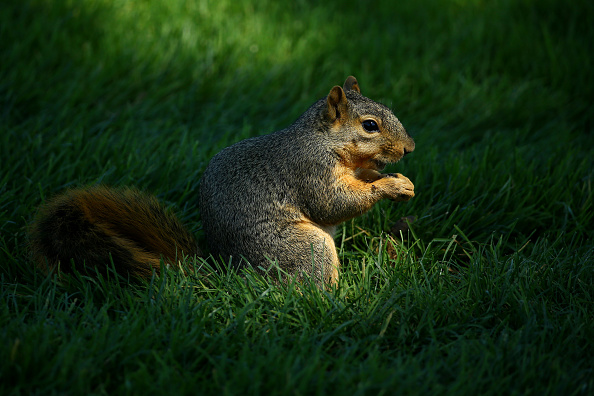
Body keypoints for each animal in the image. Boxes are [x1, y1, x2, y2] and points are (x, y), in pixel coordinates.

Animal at [30, 76, 414, 284]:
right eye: (369, 125)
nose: (409, 148)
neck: (322, 140)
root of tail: (231, 272)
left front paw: (397, 179)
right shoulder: (310, 169)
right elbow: (333, 203)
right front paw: (388, 186)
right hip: (300, 247)